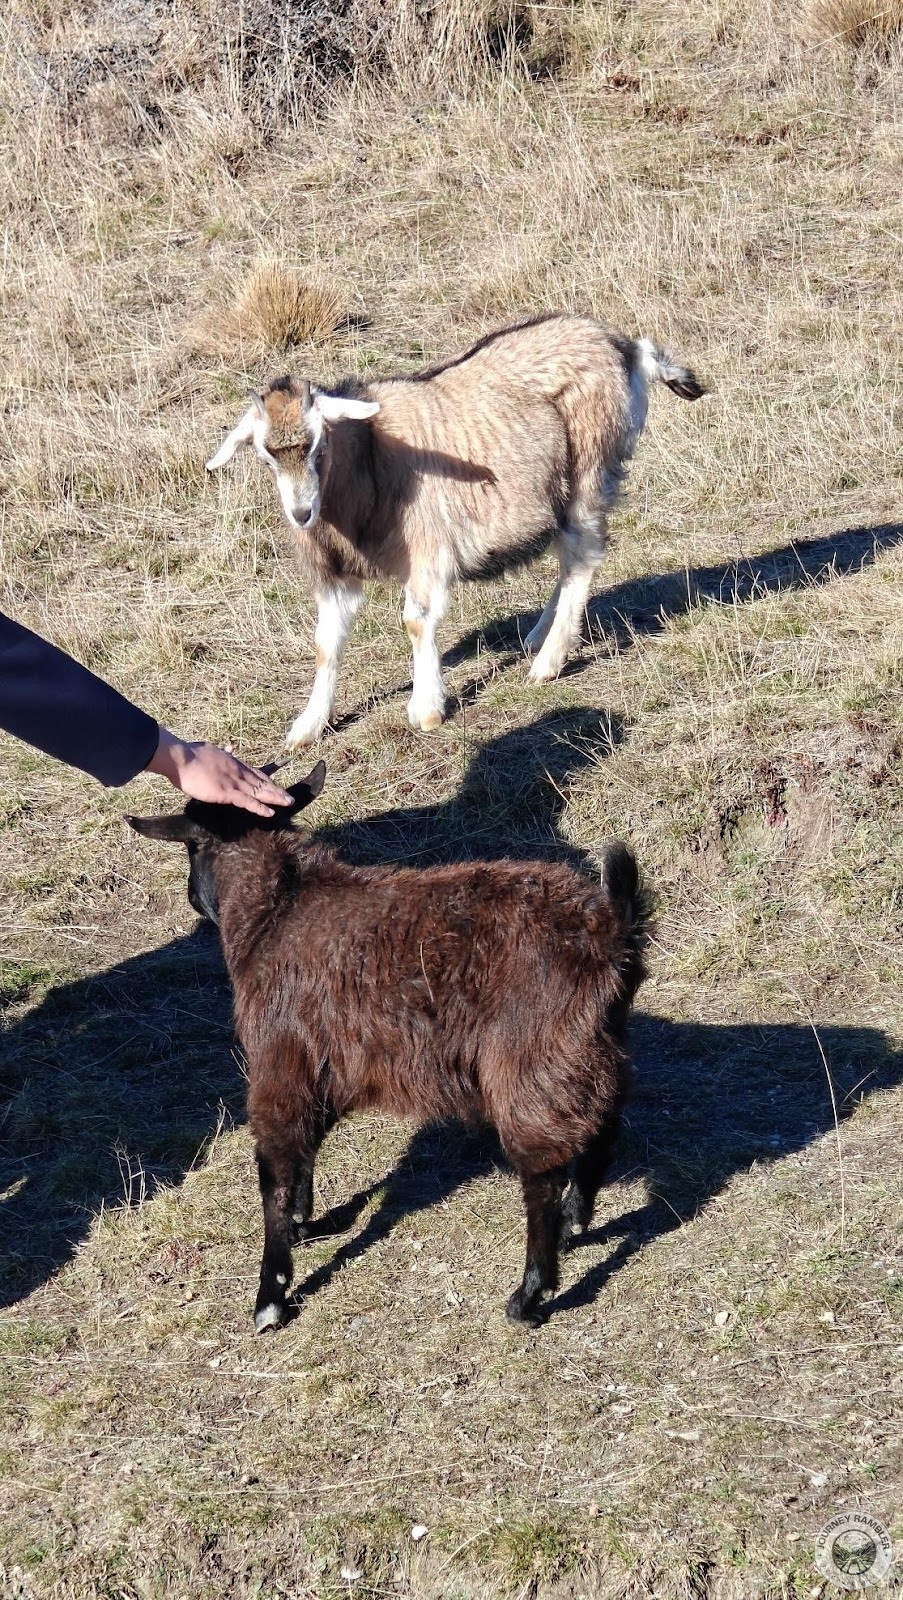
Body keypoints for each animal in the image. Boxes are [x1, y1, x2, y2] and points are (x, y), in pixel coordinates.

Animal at [127, 764, 651, 1332]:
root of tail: (610, 929)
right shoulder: (326, 1066)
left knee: (542, 1173)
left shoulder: (280, 1062)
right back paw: (576, 1222)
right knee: (602, 1130)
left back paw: (531, 1293)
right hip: (594, 1048)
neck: (275, 911)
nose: (191, 897)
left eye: (192, 846)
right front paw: (303, 1222)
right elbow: (305, 1150)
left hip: (531, 1059)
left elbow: (276, 1171)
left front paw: (271, 1294)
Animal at [205, 313, 704, 747]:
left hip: (589, 469)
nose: (301, 513)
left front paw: (426, 708)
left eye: (317, 444)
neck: (369, 455)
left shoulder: (427, 549)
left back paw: (548, 661)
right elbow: (327, 643)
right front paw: (308, 727)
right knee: (568, 558)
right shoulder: (336, 573)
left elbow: (415, 621)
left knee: (583, 556)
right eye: (265, 455)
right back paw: (537, 637)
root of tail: (625, 347)